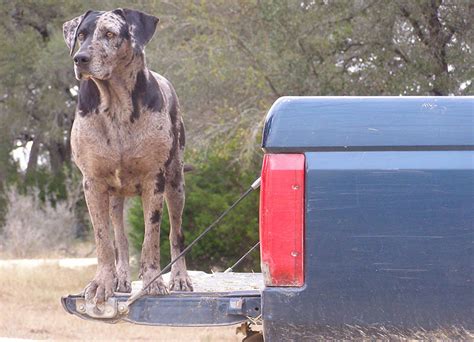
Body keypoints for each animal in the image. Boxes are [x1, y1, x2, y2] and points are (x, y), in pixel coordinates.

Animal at [63, 8, 193, 304]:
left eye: (110, 34)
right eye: (81, 35)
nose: (80, 59)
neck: (116, 105)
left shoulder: (154, 180)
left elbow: (151, 238)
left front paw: (154, 281)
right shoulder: (93, 183)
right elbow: (103, 240)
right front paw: (102, 283)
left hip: (176, 184)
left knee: (176, 234)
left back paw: (180, 278)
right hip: (115, 199)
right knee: (120, 240)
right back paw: (121, 278)